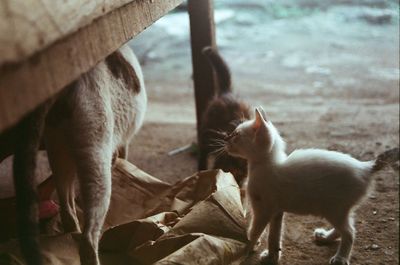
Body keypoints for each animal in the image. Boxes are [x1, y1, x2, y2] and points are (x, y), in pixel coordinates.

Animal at [198, 46, 250, 185]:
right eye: (229, 133)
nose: (225, 138)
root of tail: (226, 92)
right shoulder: (222, 166)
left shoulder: (242, 175)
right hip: (205, 137)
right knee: (203, 153)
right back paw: (200, 169)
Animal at [223, 106, 398, 264]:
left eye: (236, 135)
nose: (226, 138)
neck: (266, 165)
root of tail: (365, 167)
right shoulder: (276, 210)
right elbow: (274, 235)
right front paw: (272, 256)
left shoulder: (263, 209)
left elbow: (254, 231)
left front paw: (244, 247)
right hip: (339, 208)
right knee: (346, 227)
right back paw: (326, 237)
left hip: (334, 207)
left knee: (350, 232)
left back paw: (340, 257)